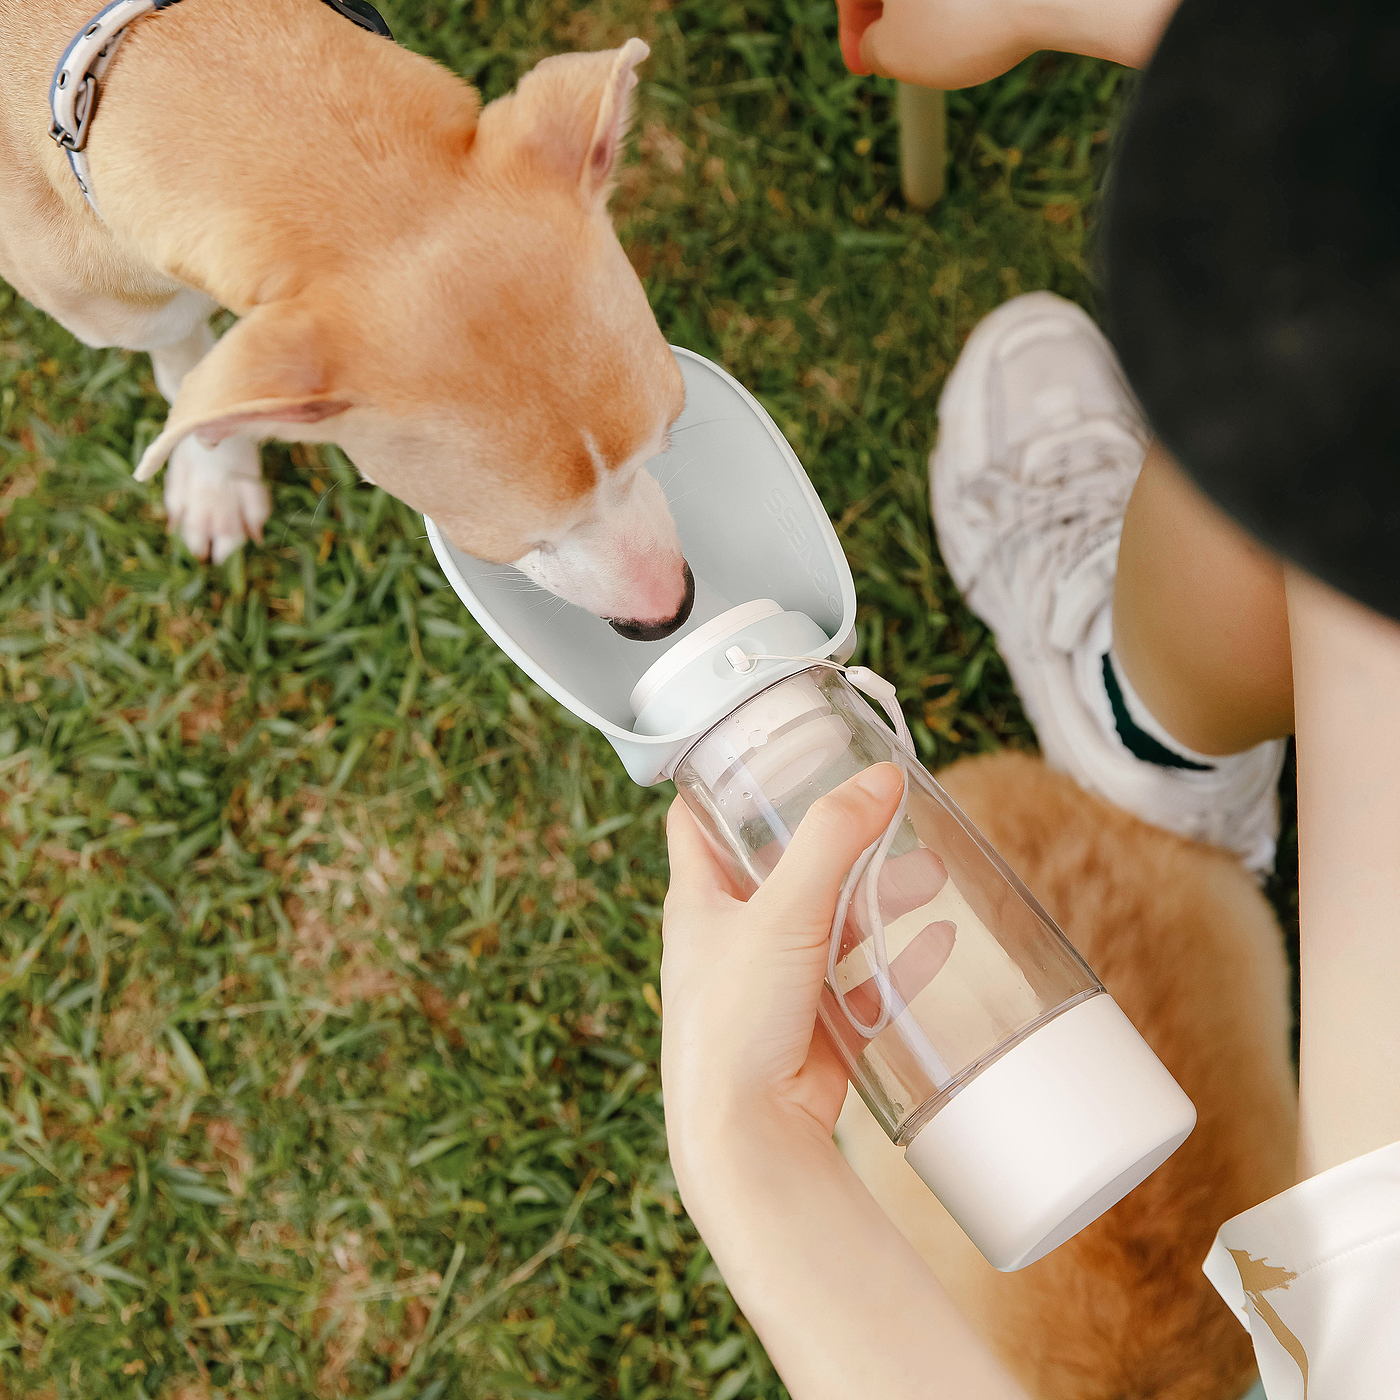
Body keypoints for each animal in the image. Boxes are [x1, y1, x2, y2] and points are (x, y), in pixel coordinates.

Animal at [1, 2, 694, 638]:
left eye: (668, 435)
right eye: (510, 542)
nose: (672, 615)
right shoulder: (124, 308)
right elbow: (182, 364)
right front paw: (215, 482)